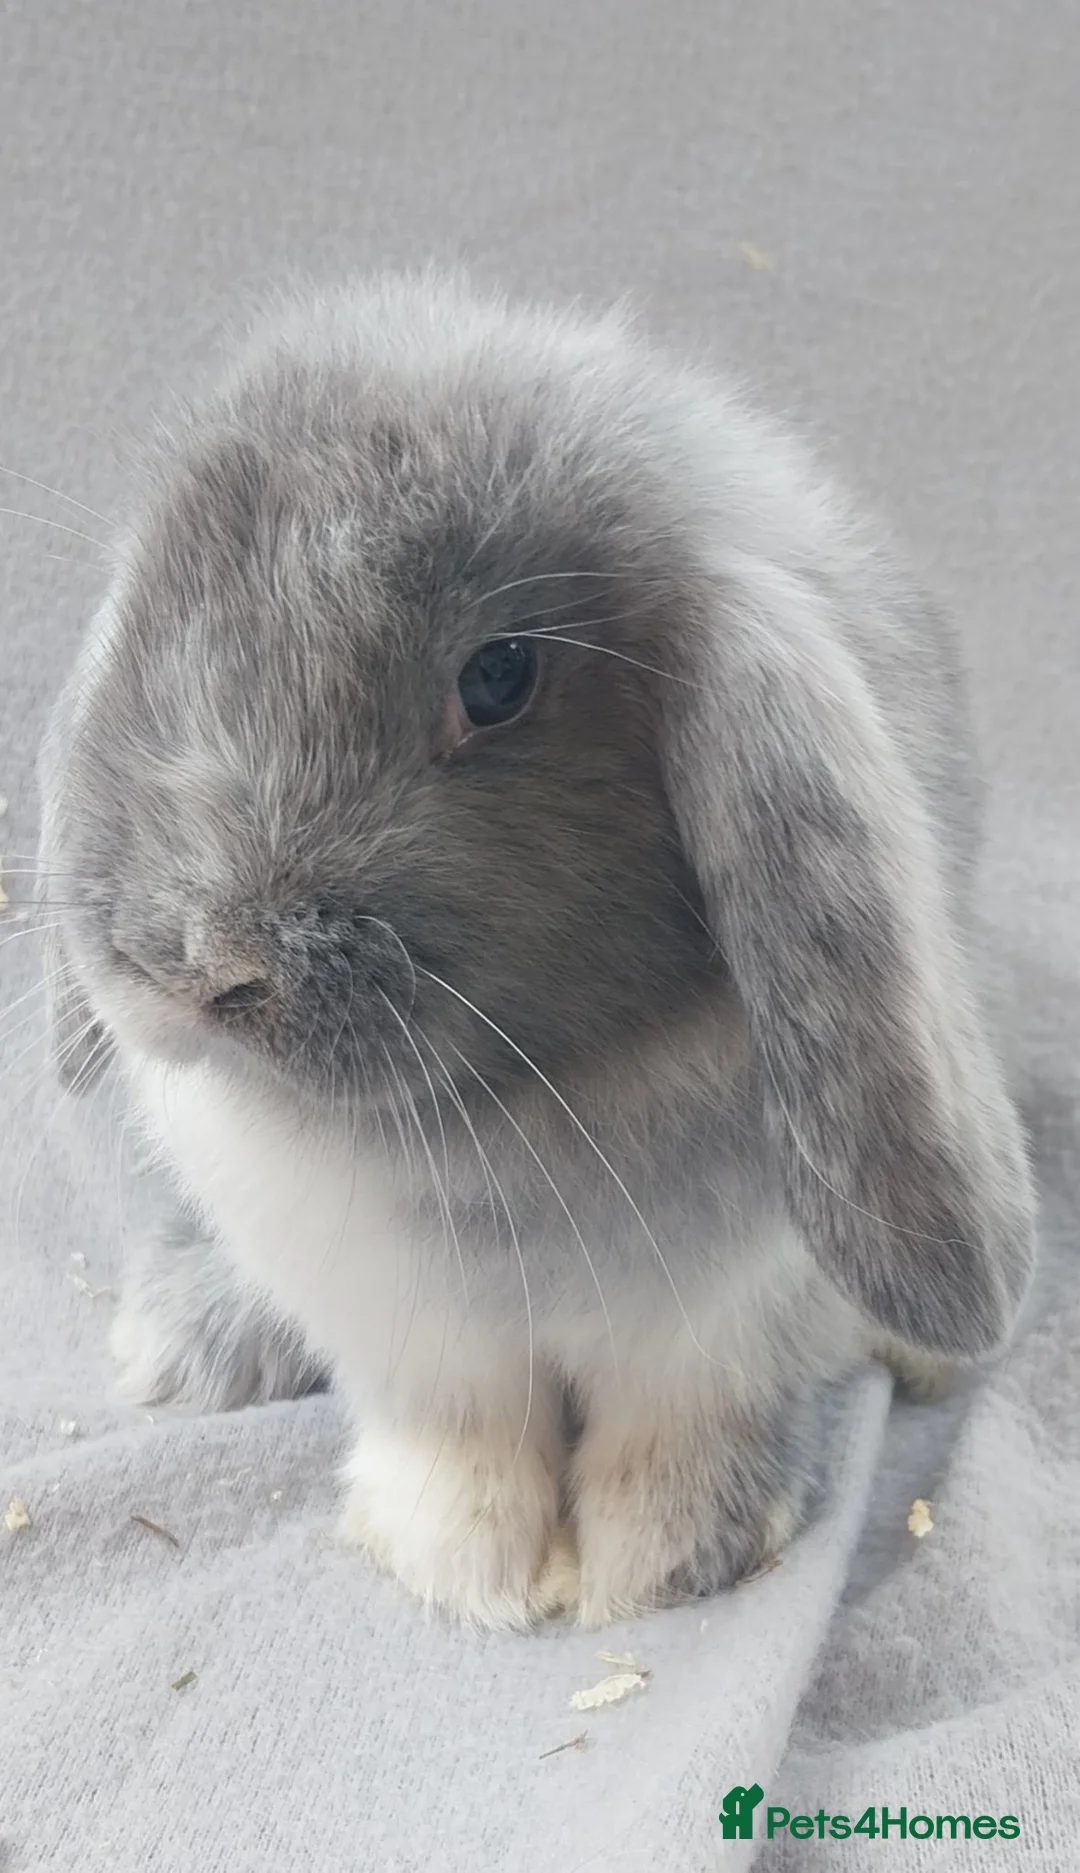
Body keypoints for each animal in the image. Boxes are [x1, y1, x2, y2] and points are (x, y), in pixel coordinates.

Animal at [37, 270, 1036, 1629]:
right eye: (155, 612)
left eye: (500, 676)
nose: (196, 965)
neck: (499, 1120)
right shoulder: (410, 1336)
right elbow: (458, 1439)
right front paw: (463, 1563)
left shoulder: (719, 1319)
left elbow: (679, 1428)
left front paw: (663, 1563)